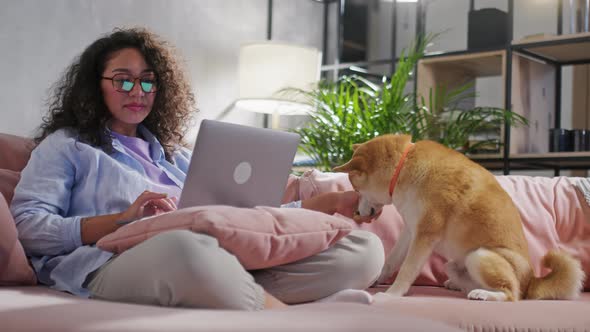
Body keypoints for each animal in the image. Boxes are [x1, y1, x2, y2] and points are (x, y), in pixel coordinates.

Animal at [332, 134, 588, 300]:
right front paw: (378, 278)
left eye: (356, 189)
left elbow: (406, 269)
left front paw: (392, 294)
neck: (403, 166)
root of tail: (532, 280)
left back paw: (484, 294)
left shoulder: (425, 234)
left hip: (480, 256)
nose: (357, 212)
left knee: (512, 294)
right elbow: (392, 260)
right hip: (455, 264)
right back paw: (458, 285)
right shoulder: (410, 230)